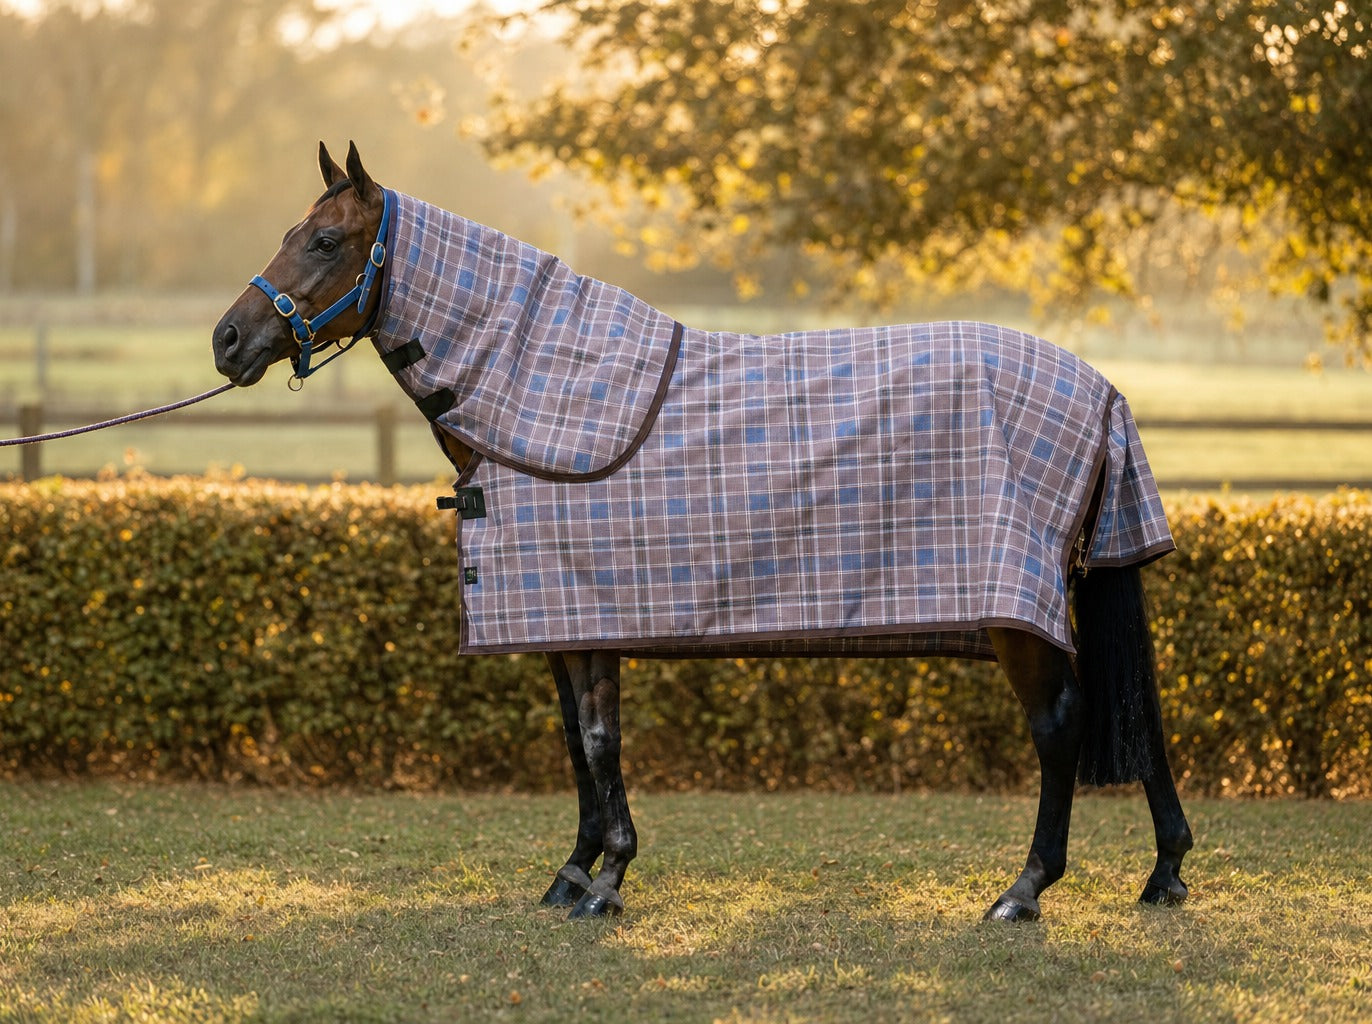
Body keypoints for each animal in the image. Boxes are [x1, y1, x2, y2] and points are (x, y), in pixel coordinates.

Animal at [212, 142, 1192, 923]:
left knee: (1060, 726)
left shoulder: (589, 617)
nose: (227, 340)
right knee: (1134, 715)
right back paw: (1166, 873)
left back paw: (1022, 892)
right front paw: (573, 874)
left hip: (1014, 613)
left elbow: (598, 741)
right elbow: (577, 744)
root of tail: (1100, 389)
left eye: (326, 242)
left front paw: (607, 880)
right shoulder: (564, 620)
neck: (535, 396)